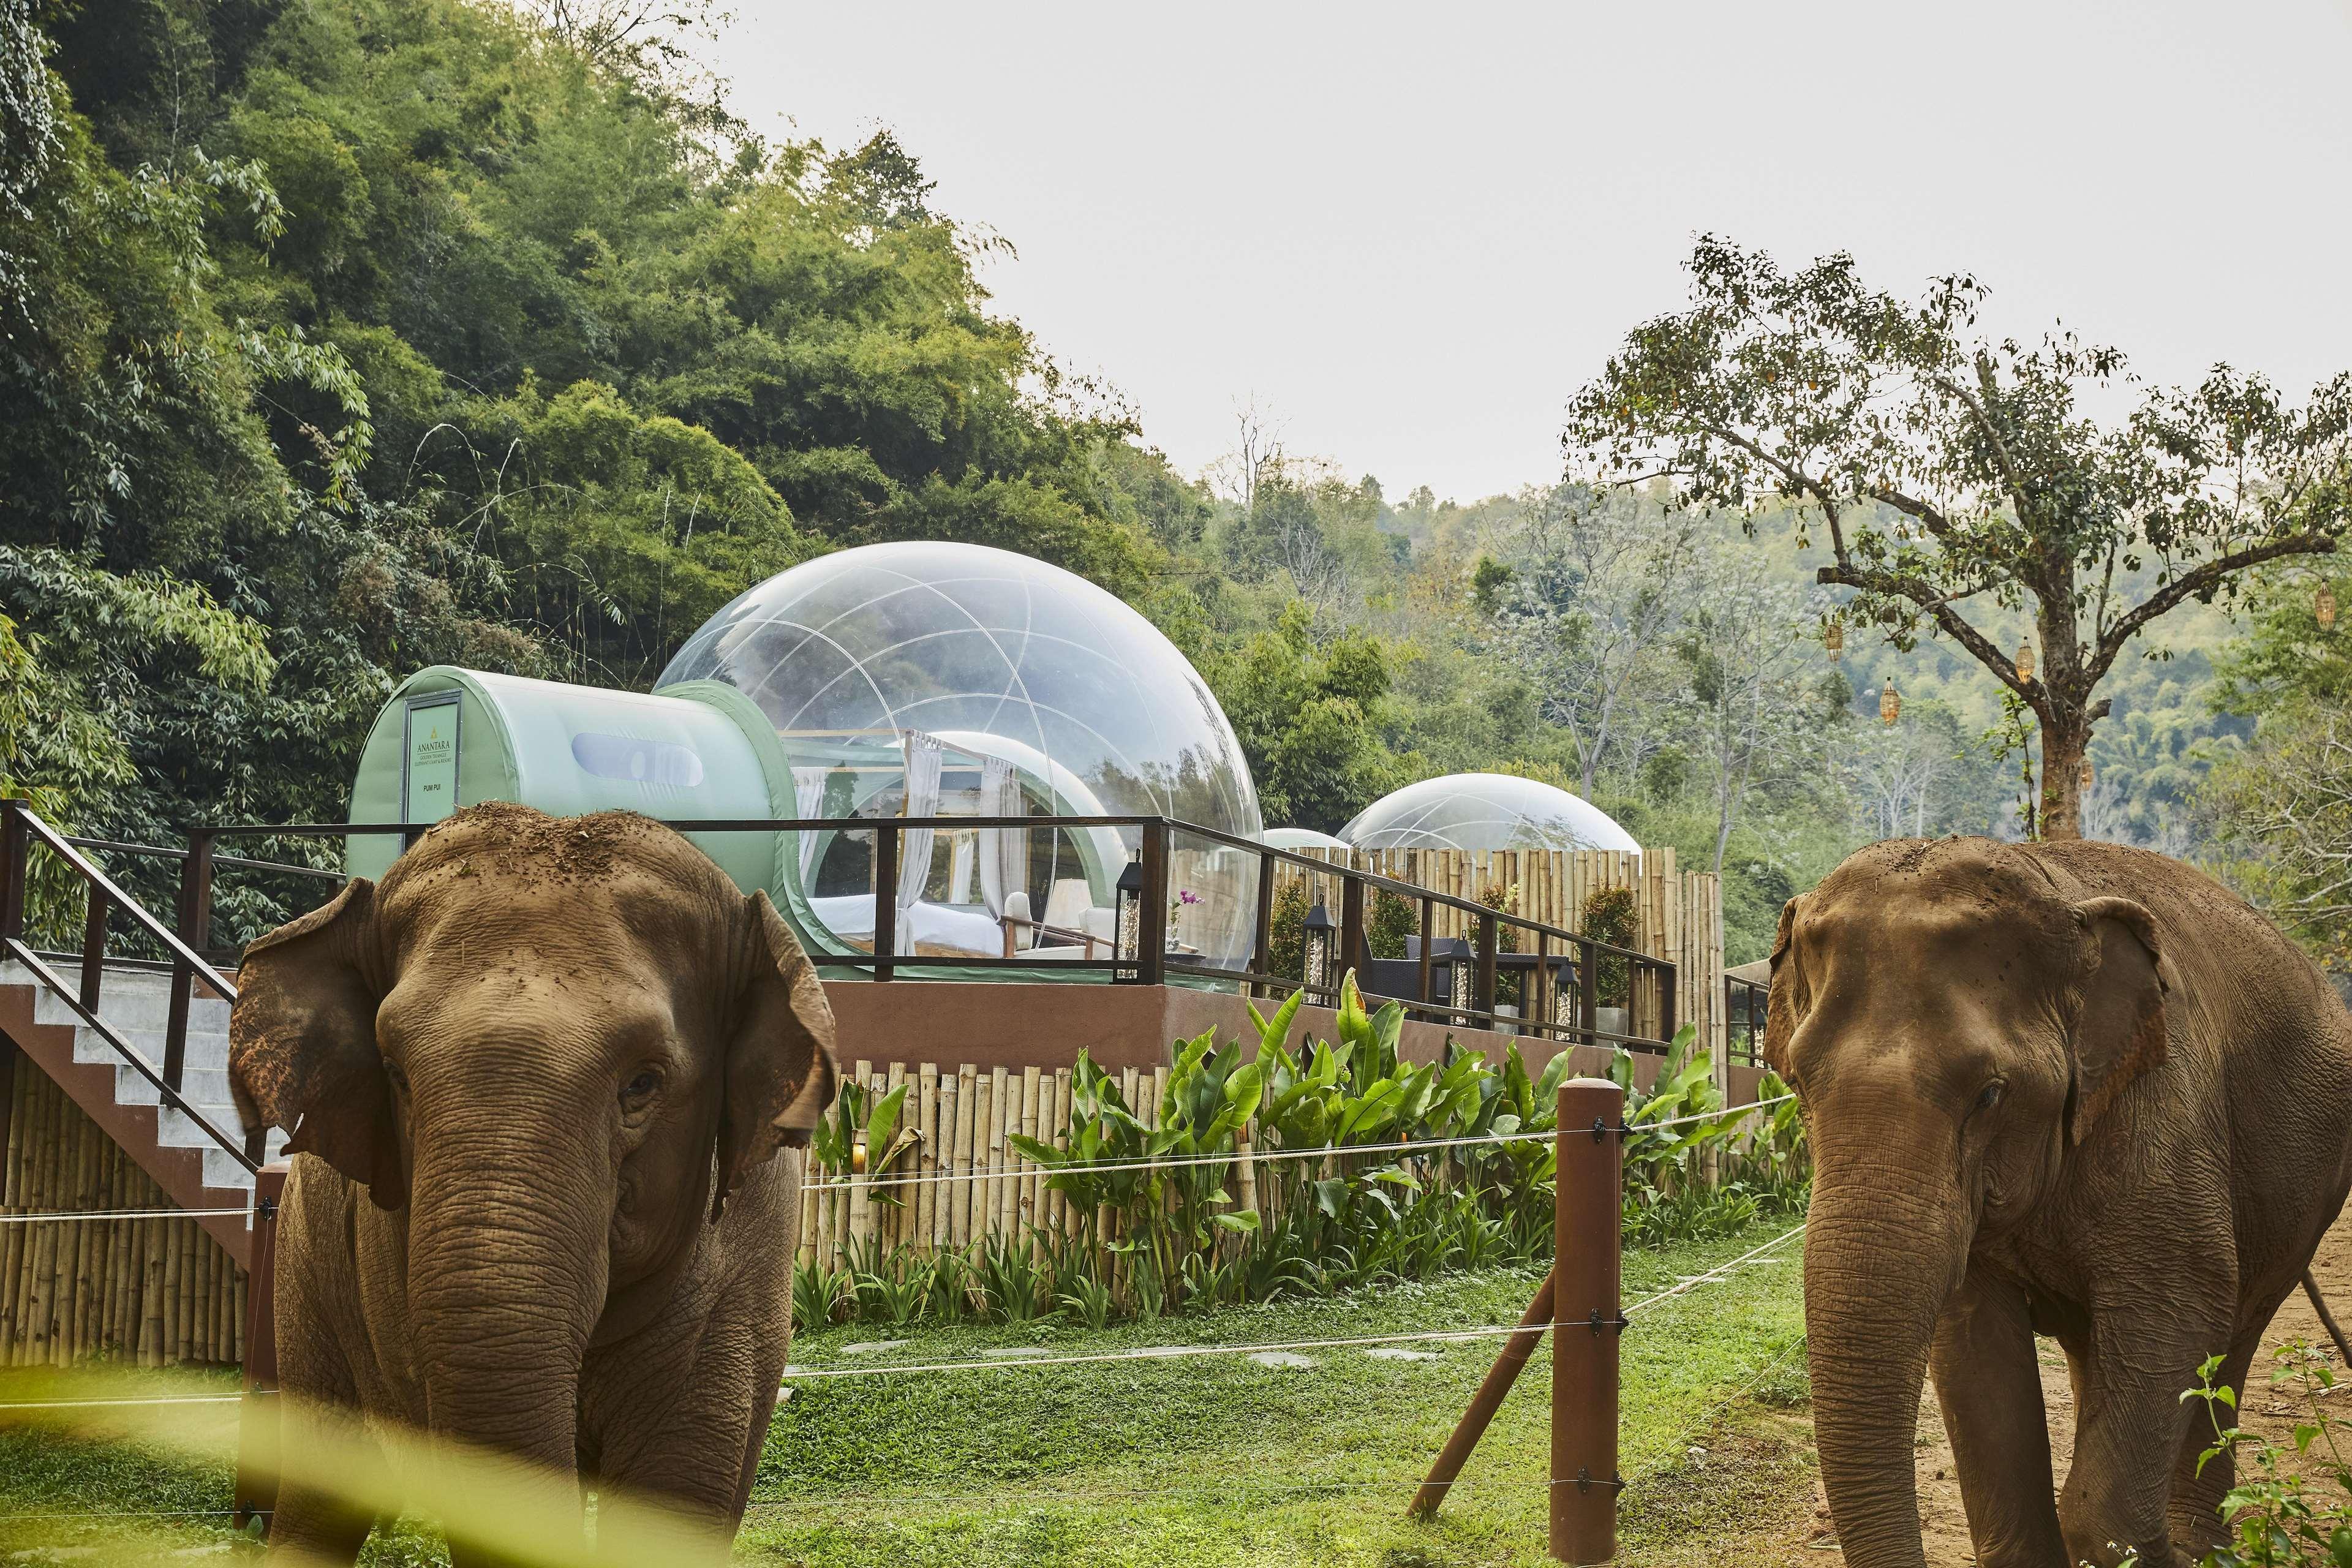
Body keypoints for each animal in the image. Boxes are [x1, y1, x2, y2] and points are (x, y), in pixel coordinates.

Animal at [229, 804, 837, 1561]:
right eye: (396, 1073)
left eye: (644, 1082)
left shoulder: (748, 1257)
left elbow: (673, 1504)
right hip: (304, 1271)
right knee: (323, 1489)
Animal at [1768, 842, 2352, 1568]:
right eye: (1798, 1084)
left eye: (1990, 1094)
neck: (2058, 890)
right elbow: (1974, 1340)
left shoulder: (2164, 1107)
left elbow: (2182, 1301)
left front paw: (2140, 1546)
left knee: (2234, 1336)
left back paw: (2200, 1548)